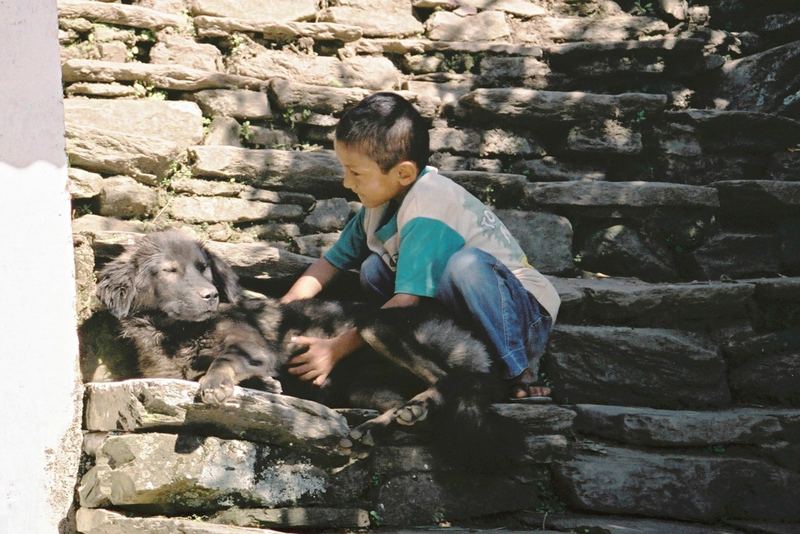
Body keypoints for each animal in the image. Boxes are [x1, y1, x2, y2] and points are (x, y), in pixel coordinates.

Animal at [95, 230, 524, 468]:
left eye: (205, 269)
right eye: (169, 271)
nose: (211, 296)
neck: (180, 332)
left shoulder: (250, 344)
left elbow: (224, 360)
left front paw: (220, 383)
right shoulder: (166, 371)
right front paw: (264, 385)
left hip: (376, 326)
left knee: (450, 379)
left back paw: (419, 405)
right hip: (362, 387)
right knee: (406, 401)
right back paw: (385, 422)